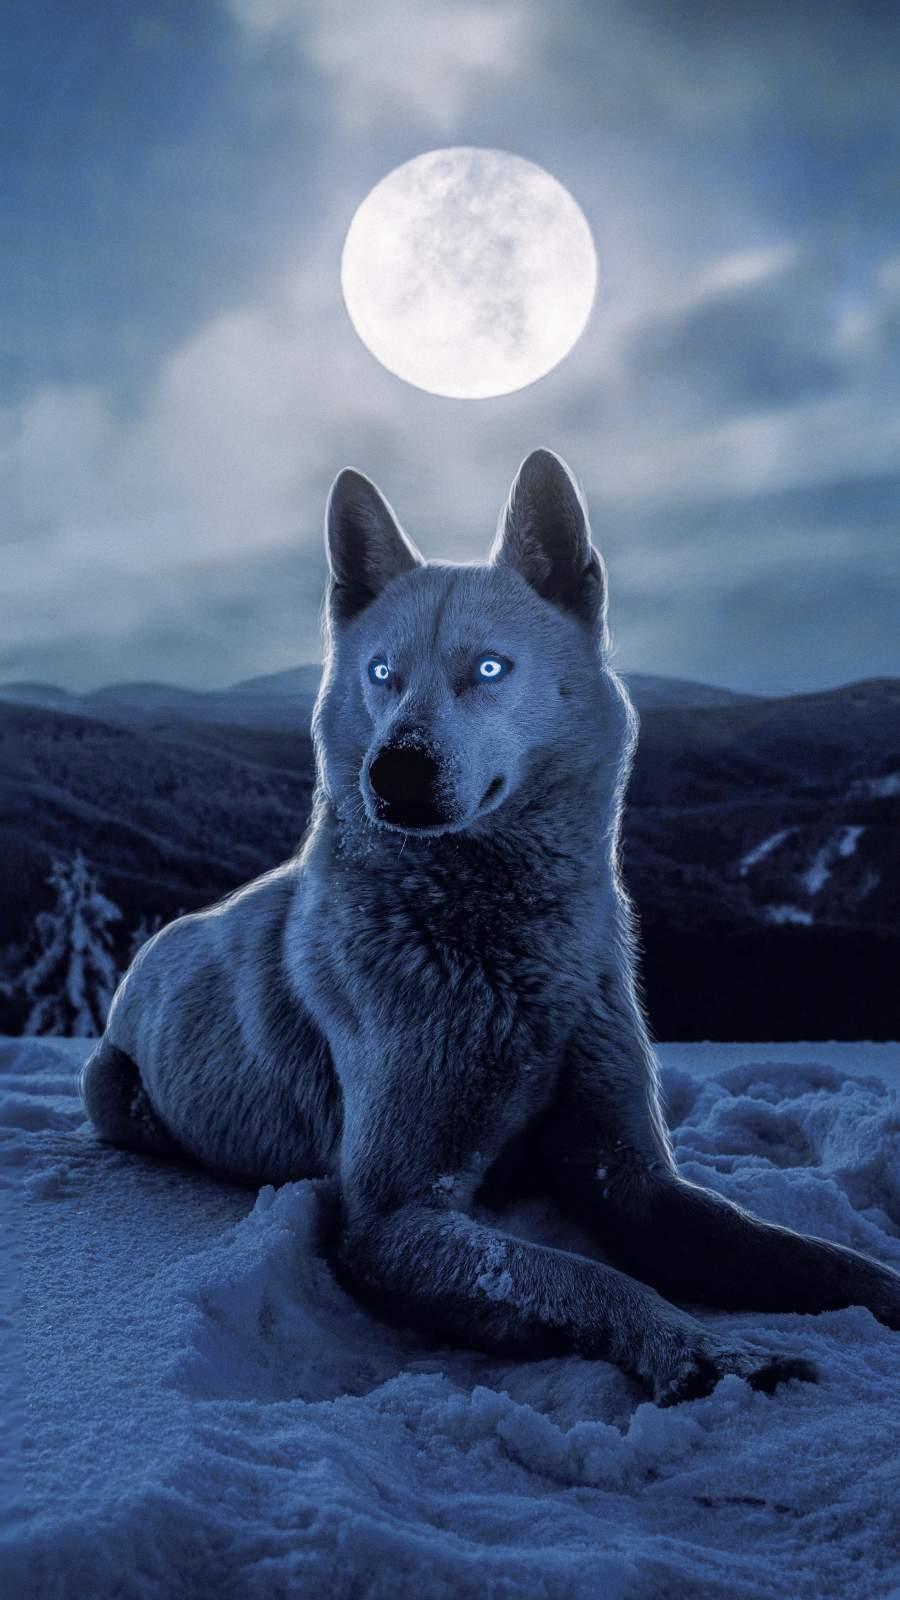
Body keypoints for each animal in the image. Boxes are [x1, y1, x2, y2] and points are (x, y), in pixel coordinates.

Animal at [81, 448, 900, 1406]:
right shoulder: (393, 1219)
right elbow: (584, 1274)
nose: (394, 771)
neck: (505, 956)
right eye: (383, 675)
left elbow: (811, 1257)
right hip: (112, 1092)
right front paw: (703, 1352)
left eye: (490, 669)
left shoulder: (635, 1179)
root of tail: (158, 942)